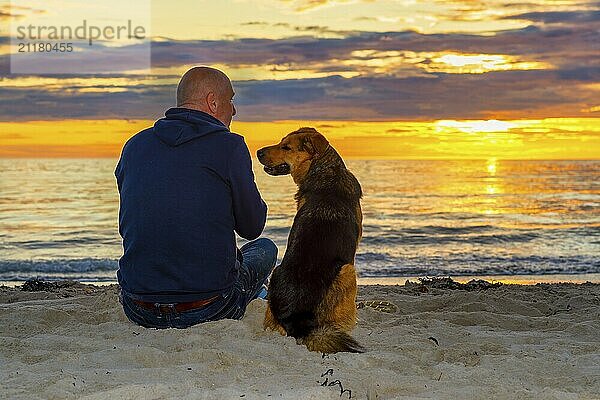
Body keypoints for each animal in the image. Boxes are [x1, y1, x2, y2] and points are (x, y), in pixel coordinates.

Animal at [255, 127, 364, 354]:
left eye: (286, 147)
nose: (258, 152)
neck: (326, 170)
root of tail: (295, 318)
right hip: (348, 270)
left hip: (276, 273)